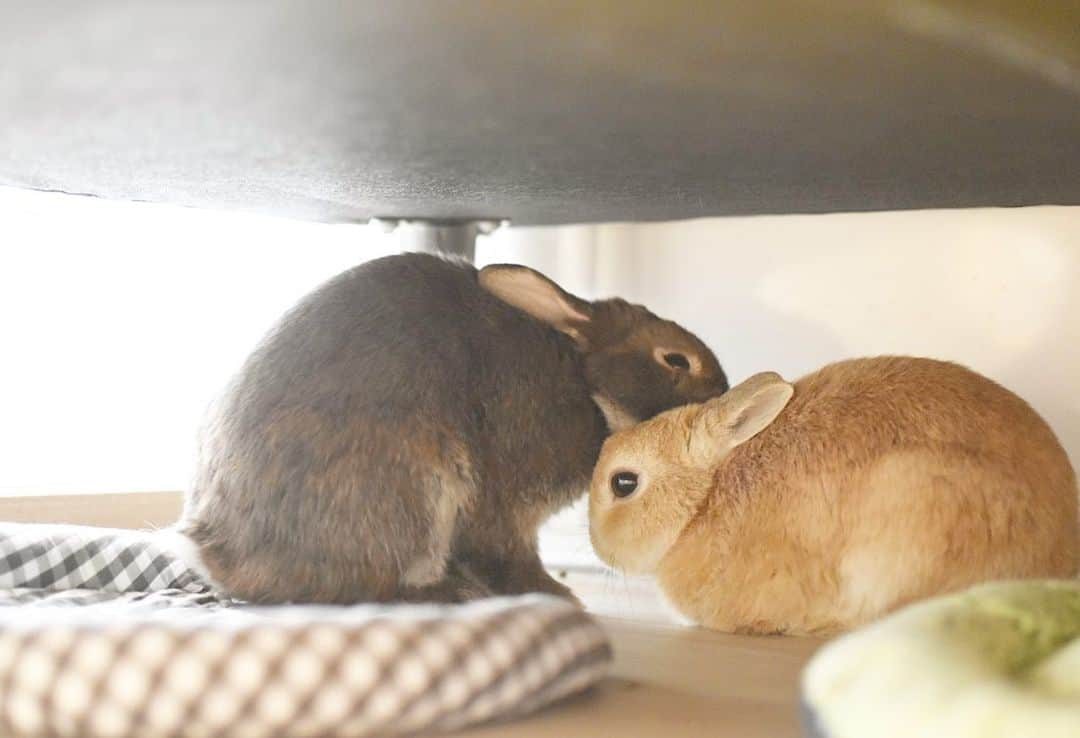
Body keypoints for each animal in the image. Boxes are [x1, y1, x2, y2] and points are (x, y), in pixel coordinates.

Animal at [180, 252, 728, 605]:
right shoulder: (505, 507)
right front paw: (555, 594)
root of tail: (219, 553)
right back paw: (451, 593)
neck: (584, 378)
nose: (724, 390)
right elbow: (508, 553)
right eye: (675, 359)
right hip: (416, 486)